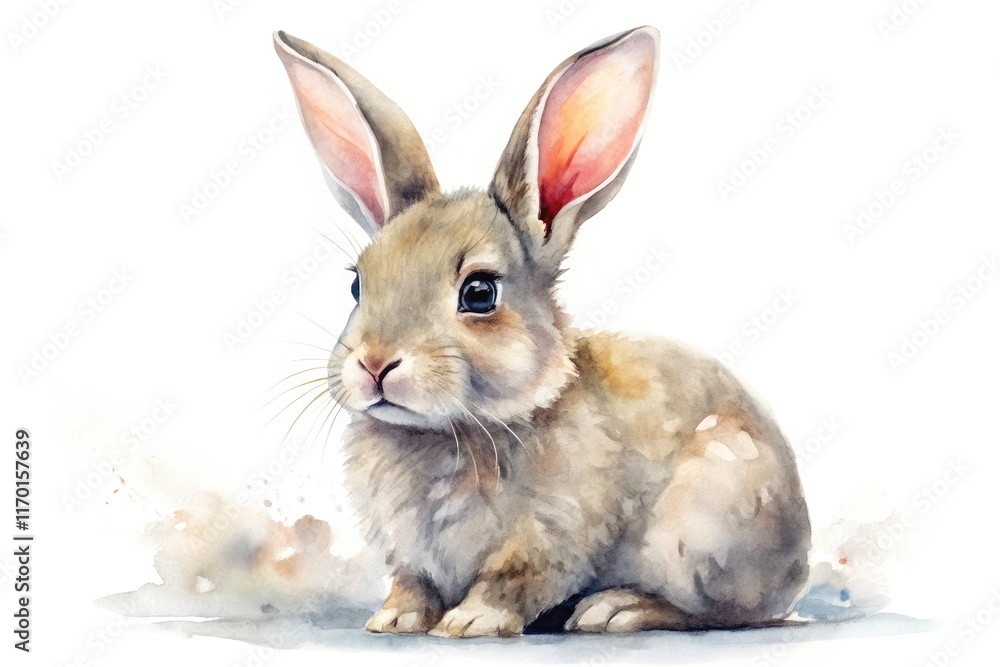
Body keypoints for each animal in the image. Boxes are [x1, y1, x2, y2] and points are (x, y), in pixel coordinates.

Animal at [273, 26, 811, 638]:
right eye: (357, 284)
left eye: (479, 293)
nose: (374, 363)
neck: (452, 430)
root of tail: (797, 564)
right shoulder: (412, 555)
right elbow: (413, 581)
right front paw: (393, 620)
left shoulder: (551, 536)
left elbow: (511, 579)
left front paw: (469, 623)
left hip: (702, 531)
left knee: (727, 613)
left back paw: (617, 609)